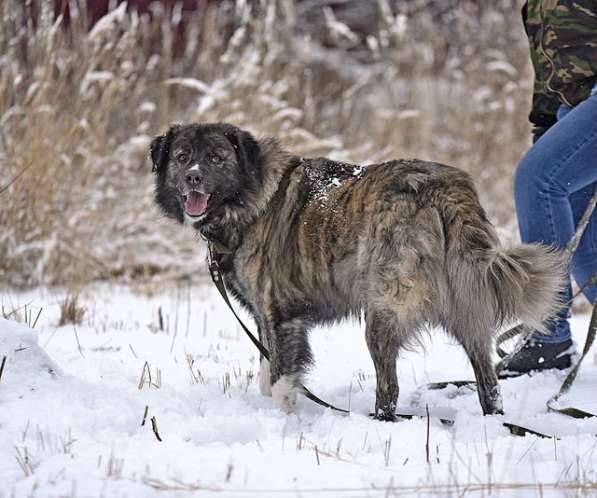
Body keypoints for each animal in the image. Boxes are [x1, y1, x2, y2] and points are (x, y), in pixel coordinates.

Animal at [150, 122, 564, 418]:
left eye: (217, 158)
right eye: (182, 156)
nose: (193, 177)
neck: (251, 197)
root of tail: (440, 186)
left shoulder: (278, 315)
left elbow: (281, 378)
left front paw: (282, 423)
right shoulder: (267, 320)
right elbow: (267, 371)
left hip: (382, 312)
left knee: (389, 388)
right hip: (467, 309)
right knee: (488, 381)